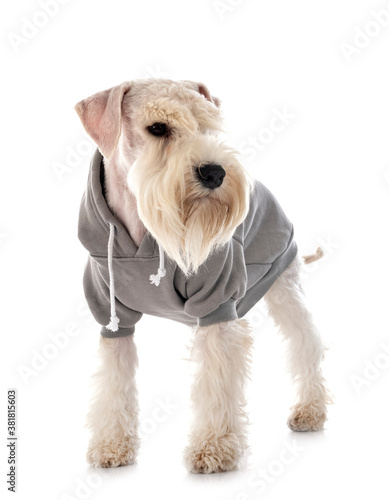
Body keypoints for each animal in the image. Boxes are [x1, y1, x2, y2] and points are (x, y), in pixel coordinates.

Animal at [75, 78, 330, 472]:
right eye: (158, 128)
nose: (215, 173)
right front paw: (111, 446)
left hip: (284, 285)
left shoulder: (216, 304)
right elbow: (113, 381)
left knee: (306, 342)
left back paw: (311, 410)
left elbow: (217, 379)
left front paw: (214, 448)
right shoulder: (111, 315)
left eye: (209, 125)